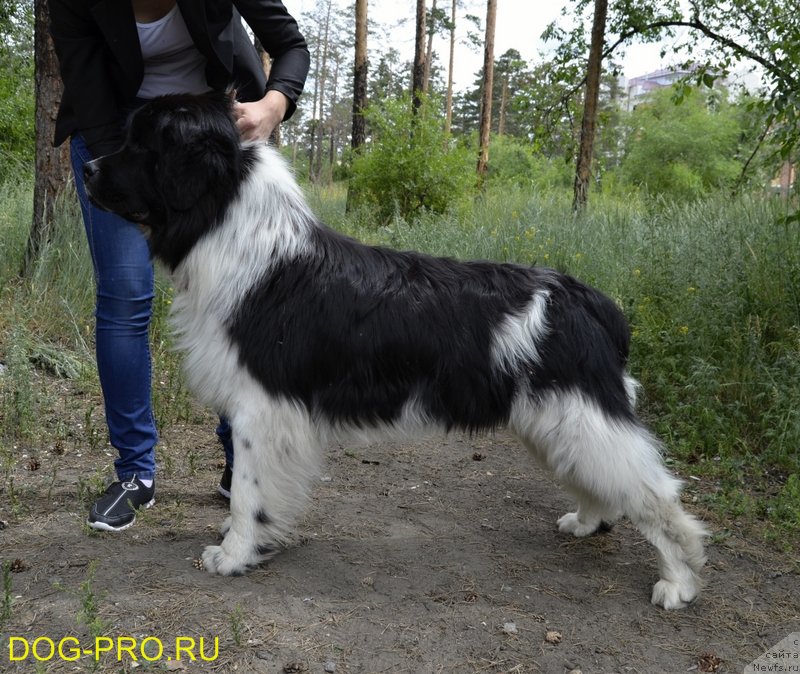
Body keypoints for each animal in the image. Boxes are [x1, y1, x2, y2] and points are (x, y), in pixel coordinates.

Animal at [83, 92, 708, 608]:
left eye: (143, 144)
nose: (86, 167)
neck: (246, 244)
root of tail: (593, 300)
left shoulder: (262, 408)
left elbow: (247, 493)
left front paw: (236, 553)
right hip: (557, 422)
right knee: (607, 483)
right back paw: (587, 520)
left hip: (582, 416)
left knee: (658, 495)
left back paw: (679, 581)